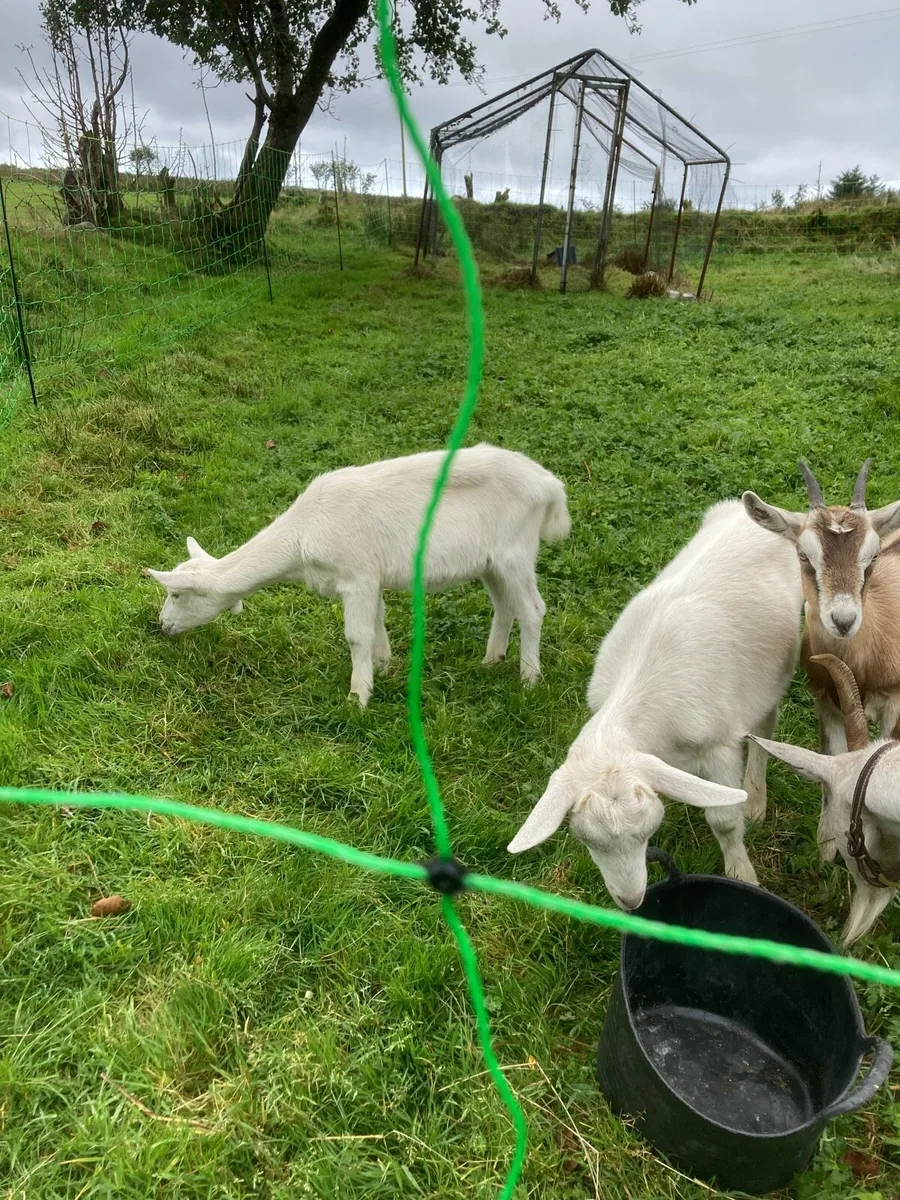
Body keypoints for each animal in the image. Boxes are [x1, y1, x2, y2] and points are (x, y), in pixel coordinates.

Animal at [146, 444, 570, 707]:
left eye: (177, 594)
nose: (163, 626)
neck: (302, 536)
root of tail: (550, 485)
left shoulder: (358, 576)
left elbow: (356, 635)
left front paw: (358, 696)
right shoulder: (372, 578)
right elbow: (377, 622)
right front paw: (382, 666)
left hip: (515, 552)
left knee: (532, 609)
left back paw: (529, 680)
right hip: (490, 562)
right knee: (504, 605)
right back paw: (492, 660)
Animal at [508, 500, 802, 910]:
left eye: (648, 831)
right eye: (586, 840)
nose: (631, 901)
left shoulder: (719, 744)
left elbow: (725, 820)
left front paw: (742, 873)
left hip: (774, 674)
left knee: (765, 727)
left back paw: (756, 798)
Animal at [743, 460, 900, 859]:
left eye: (872, 557)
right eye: (803, 555)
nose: (843, 620)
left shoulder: (896, 703)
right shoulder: (826, 700)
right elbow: (832, 766)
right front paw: (828, 848)